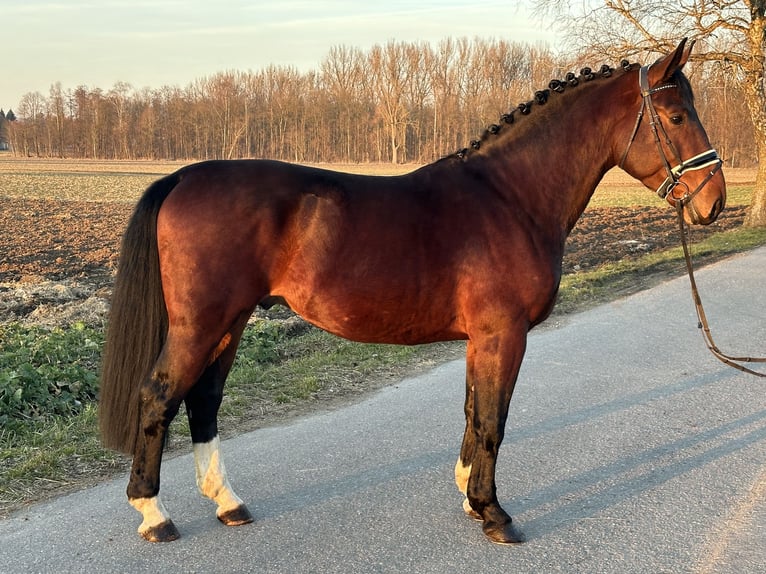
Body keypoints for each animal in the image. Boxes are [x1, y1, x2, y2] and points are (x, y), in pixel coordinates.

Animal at [100, 39, 728, 544]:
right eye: (675, 115)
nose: (714, 202)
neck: (510, 197)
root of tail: (183, 176)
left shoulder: (483, 338)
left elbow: (474, 410)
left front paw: (470, 497)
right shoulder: (504, 334)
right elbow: (494, 419)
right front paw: (494, 513)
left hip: (229, 323)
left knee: (203, 401)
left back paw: (228, 504)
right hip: (202, 323)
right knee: (158, 396)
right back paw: (153, 514)